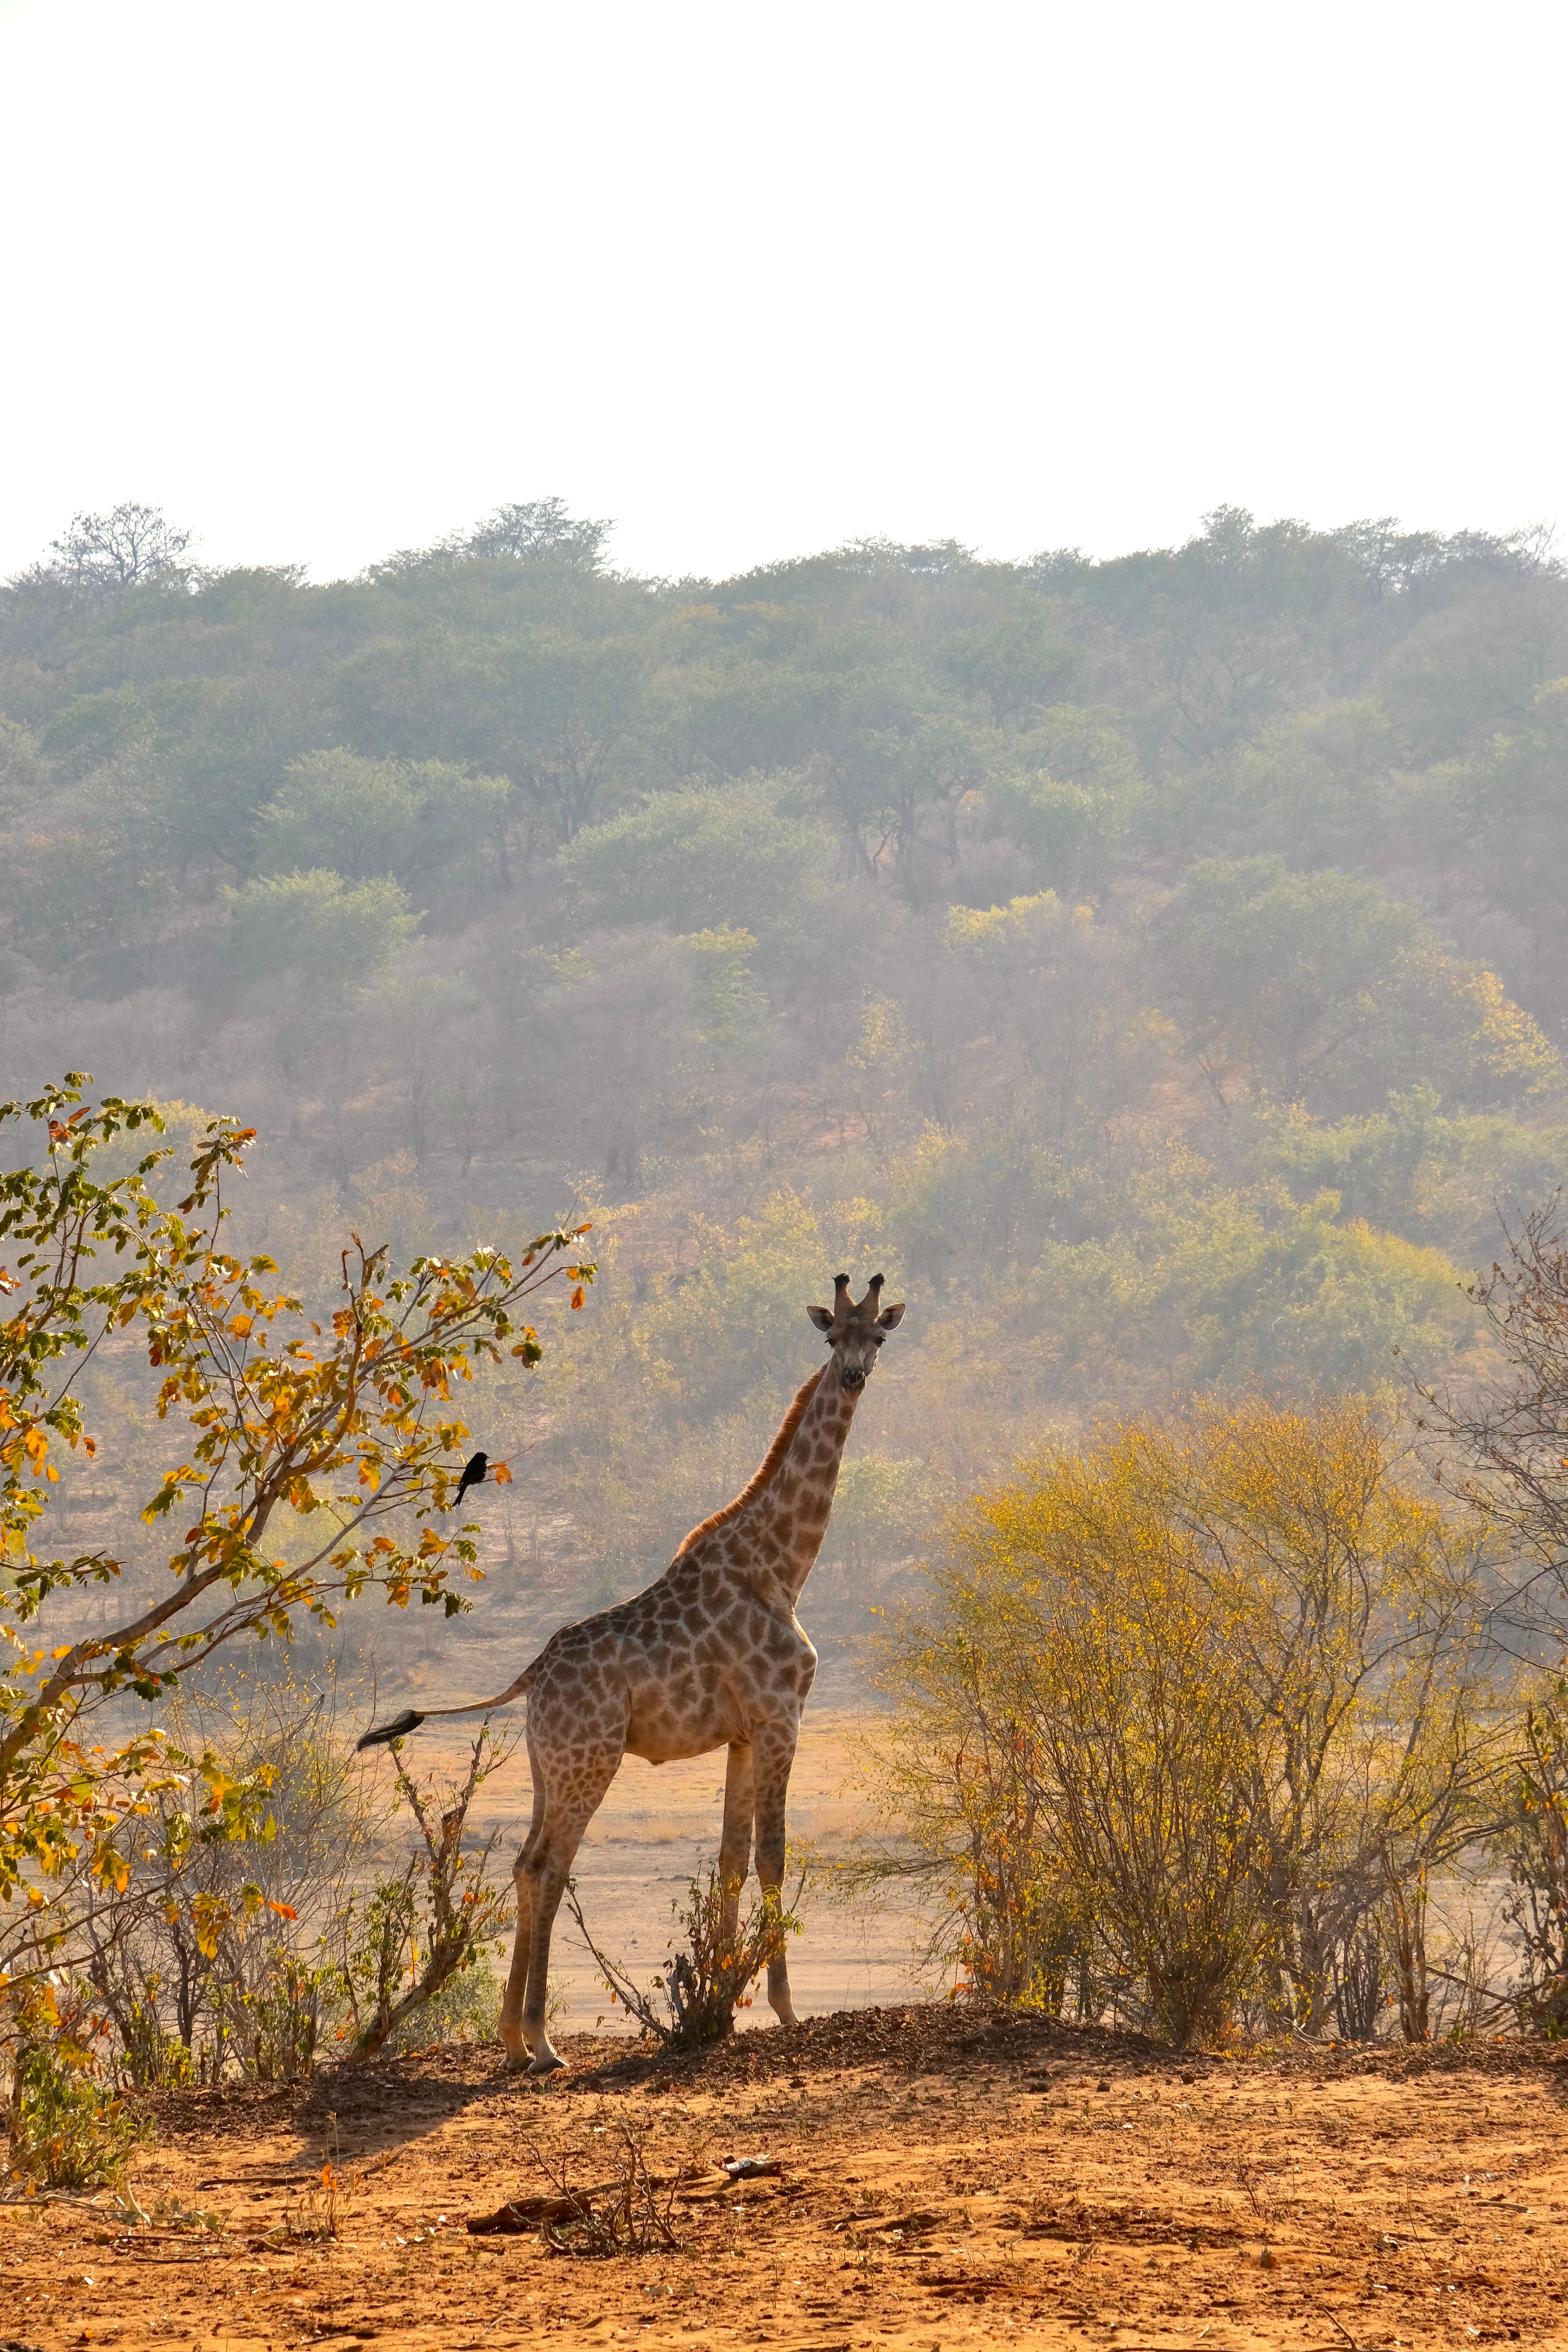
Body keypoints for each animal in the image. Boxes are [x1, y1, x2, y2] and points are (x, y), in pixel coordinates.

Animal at [357, 1272, 906, 2074]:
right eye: (833, 1336)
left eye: (879, 1337)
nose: (854, 1376)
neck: (783, 1566)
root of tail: (531, 1675)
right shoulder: (781, 1715)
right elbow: (773, 1855)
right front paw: (784, 2007)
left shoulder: (743, 1733)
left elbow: (731, 1860)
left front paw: (723, 2007)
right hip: (593, 1760)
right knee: (547, 1867)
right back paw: (543, 2041)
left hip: (549, 1765)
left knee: (526, 1864)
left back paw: (514, 2039)